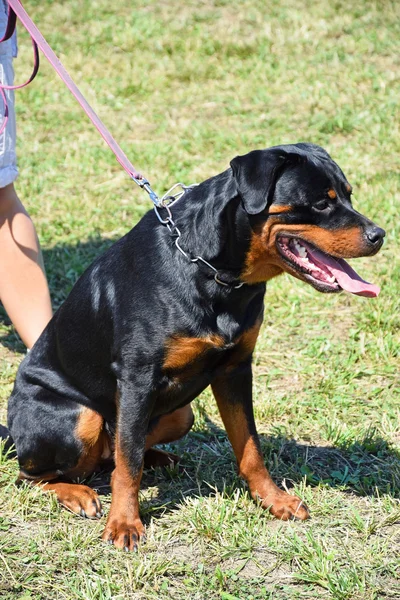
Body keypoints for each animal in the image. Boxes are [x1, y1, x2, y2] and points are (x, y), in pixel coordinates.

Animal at [4, 143, 384, 552]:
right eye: (320, 203)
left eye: (347, 194)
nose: (379, 234)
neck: (215, 273)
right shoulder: (138, 378)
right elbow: (129, 463)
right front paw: (124, 523)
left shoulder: (236, 367)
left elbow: (249, 447)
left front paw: (273, 500)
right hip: (79, 418)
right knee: (35, 474)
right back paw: (77, 494)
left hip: (180, 413)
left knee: (111, 455)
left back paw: (161, 459)